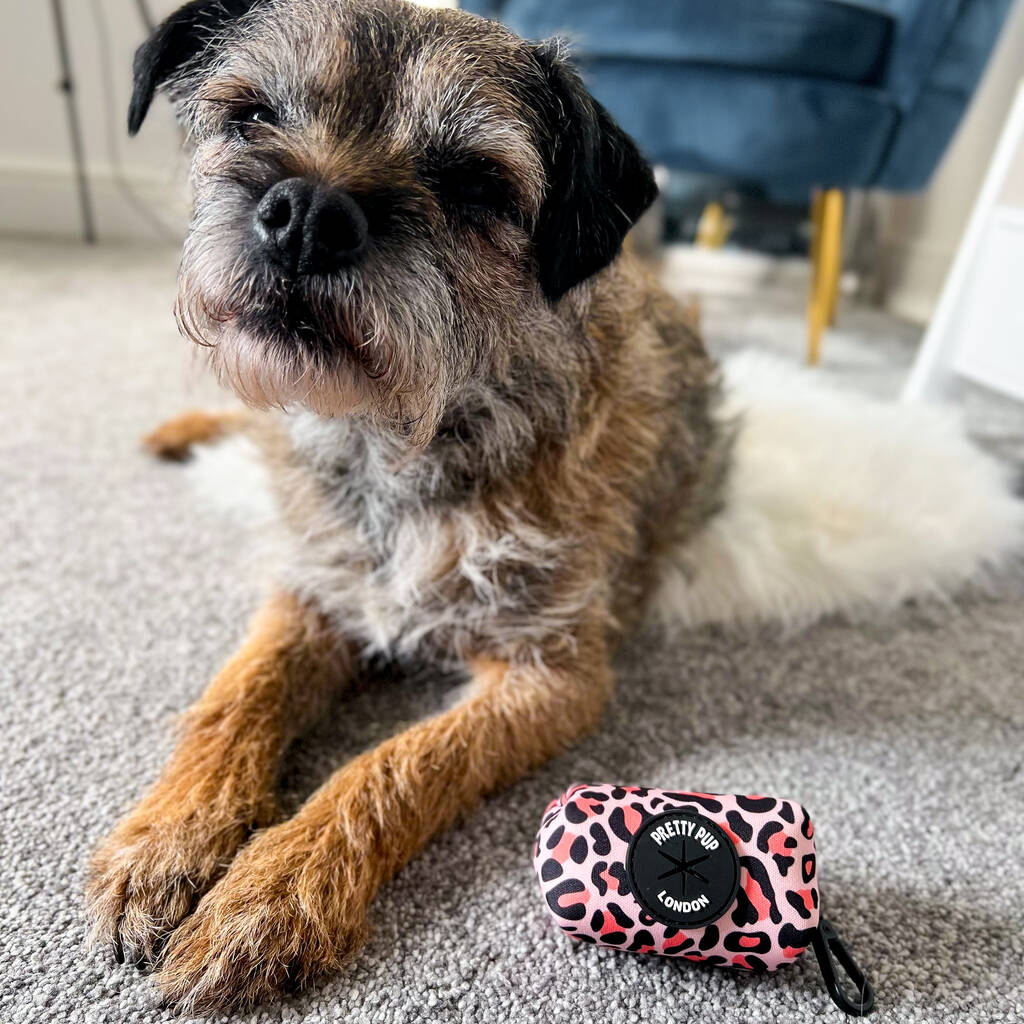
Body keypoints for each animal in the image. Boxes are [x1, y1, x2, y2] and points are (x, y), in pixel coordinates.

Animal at [88, 0, 724, 1007]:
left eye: (471, 182)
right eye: (251, 116)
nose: (308, 214)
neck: (396, 440)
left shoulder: (551, 675)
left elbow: (391, 766)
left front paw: (272, 892)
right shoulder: (311, 592)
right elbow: (234, 698)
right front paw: (167, 840)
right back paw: (181, 431)